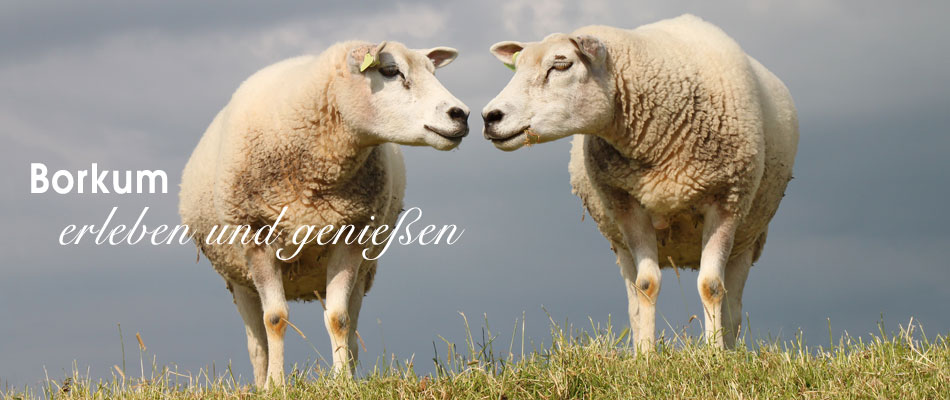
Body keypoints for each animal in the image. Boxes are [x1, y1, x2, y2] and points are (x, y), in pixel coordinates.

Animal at [178, 40, 468, 388]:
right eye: (390, 71)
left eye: (432, 72)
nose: (461, 114)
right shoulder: (255, 237)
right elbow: (275, 319)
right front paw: (276, 385)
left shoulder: (351, 236)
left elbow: (338, 319)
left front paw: (342, 382)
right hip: (239, 279)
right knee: (257, 344)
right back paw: (260, 383)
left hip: (363, 272)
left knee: (351, 329)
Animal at [484, 14, 804, 350]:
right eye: (517, 66)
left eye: (561, 65)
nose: (490, 116)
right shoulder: (626, 205)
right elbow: (646, 285)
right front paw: (647, 355)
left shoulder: (728, 199)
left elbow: (712, 286)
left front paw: (714, 354)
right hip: (620, 244)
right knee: (634, 299)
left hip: (747, 240)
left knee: (733, 305)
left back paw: (728, 347)